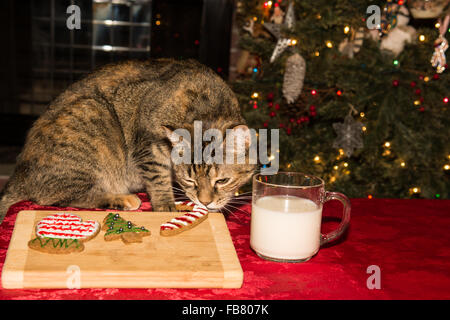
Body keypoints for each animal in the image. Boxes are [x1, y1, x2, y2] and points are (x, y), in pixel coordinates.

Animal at [0, 58, 255, 224]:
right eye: (189, 180)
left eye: (222, 180)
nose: (205, 202)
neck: (207, 109)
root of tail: (17, 176)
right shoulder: (149, 147)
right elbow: (159, 180)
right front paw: (166, 205)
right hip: (93, 116)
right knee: (61, 196)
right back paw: (124, 199)